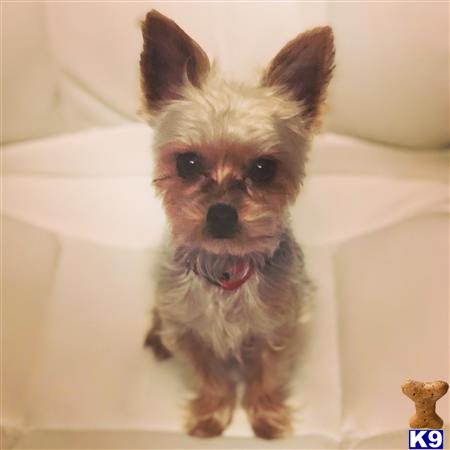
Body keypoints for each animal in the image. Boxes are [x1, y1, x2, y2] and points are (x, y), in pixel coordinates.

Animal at [141, 9, 334, 440]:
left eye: (264, 169)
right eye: (187, 162)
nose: (221, 213)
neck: (225, 266)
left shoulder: (281, 327)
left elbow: (268, 375)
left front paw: (266, 417)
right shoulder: (187, 331)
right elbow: (208, 376)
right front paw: (211, 416)